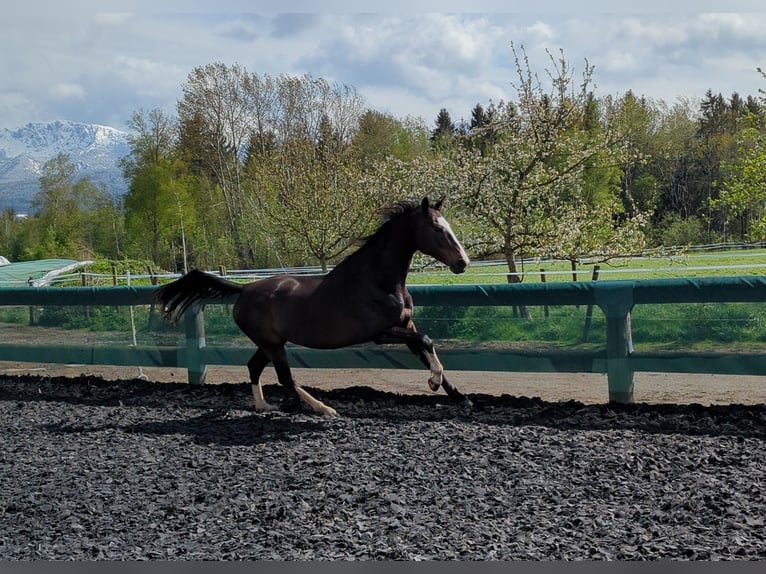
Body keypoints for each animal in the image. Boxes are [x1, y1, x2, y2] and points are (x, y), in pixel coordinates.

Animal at [154, 197, 472, 416]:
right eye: (437, 228)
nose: (463, 263)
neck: (379, 280)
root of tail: (243, 290)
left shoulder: (405, 325)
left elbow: (425, 350)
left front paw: (459, 396)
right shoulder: (381, 333)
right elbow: (427, 340)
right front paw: (434, 383)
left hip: (270, 343)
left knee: (254, 367)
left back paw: (265, 407)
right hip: (273, 344)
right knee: (285, 377)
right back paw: (324, 409)